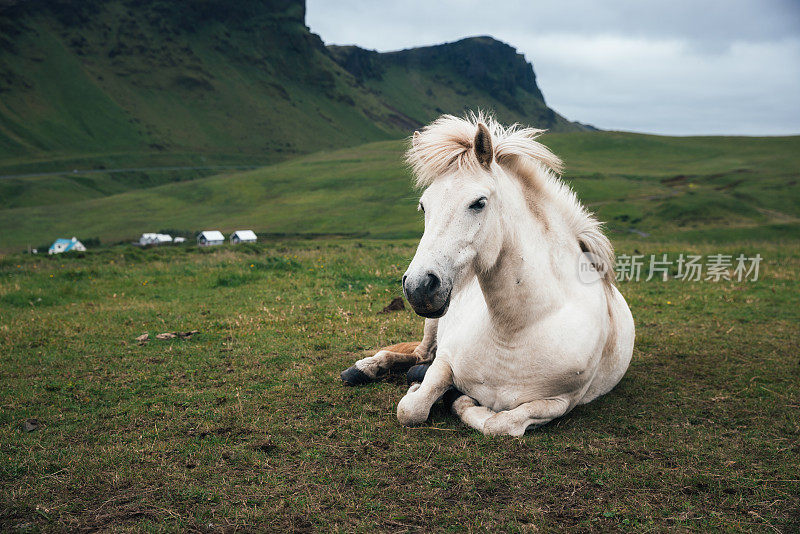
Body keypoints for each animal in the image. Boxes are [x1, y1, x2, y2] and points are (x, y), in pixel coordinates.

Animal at [340, 115, 636, 438]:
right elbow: (411, 409)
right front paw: (429, 390)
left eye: (478, 202)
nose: (419, 286)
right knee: (419, 353)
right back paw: (366, 368)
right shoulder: (446, 360)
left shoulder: (562, 401)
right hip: (433, 322)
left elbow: (500, 424)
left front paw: (458, 399)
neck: (515, 330)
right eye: (423, 206)